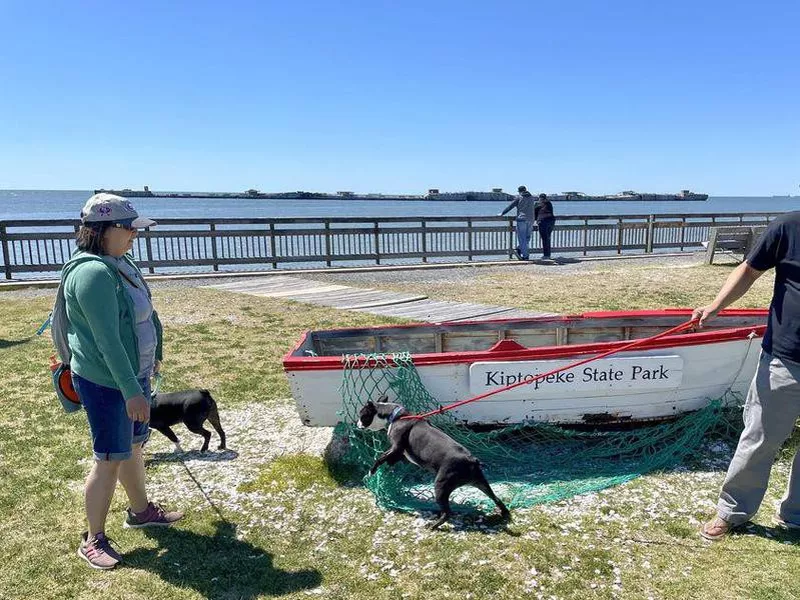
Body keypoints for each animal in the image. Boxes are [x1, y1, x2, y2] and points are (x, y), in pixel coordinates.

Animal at [358, 398, 510, 528]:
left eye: (362, 415)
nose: (357, 423)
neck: (396, 416)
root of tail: (471, 460)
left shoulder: (396, 447)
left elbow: (380, 458)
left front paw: (371, 471)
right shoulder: (399, 452)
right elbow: (389, 458)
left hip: (441, 485)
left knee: (447, 513)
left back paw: (434, 526)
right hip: (481, 482)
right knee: (496, 498)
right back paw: (504, 513)